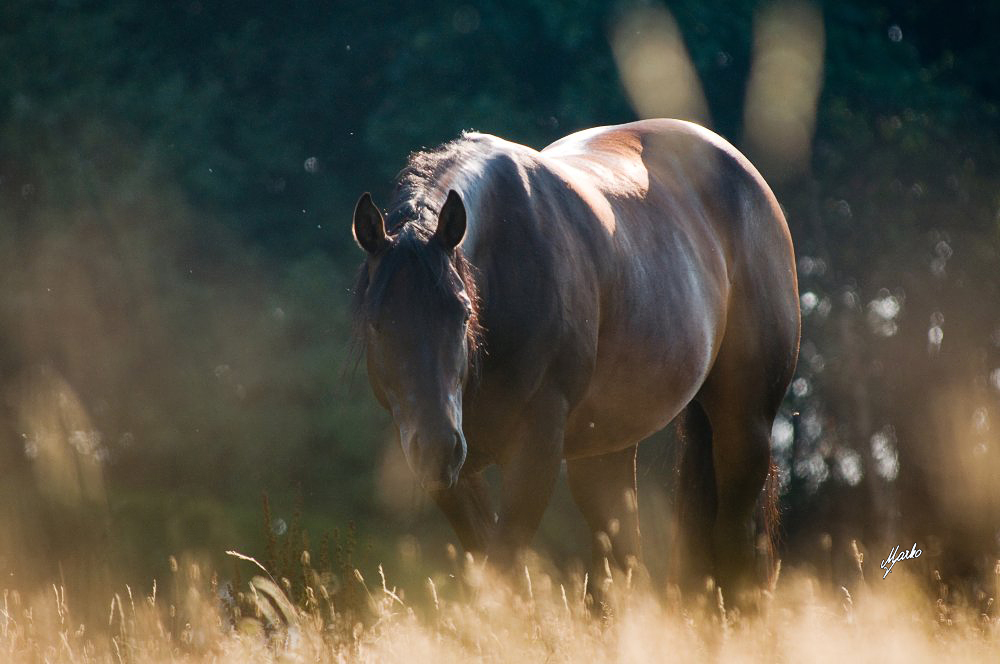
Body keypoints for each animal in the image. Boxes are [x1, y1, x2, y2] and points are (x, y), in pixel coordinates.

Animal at [350, 116, 796, 600]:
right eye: (375, 322)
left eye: (464, 312)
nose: (436, 448)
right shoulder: (454, 476)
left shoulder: (535, 449)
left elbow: (504, 564)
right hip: (605, 451)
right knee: (626, 557)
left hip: (744, 423)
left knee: (734, 539)